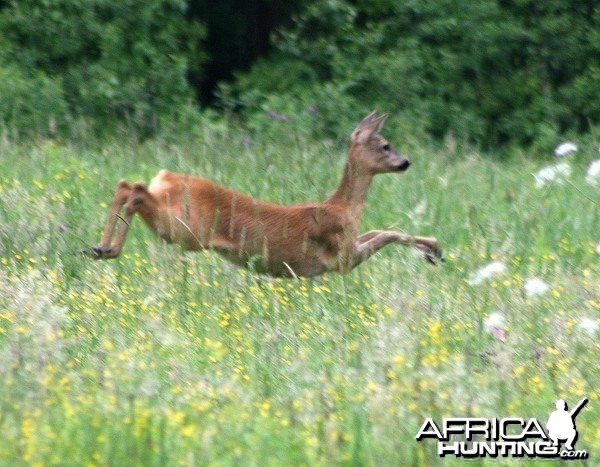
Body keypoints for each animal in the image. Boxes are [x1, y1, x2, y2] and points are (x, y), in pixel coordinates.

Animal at [90, 111, 446, 276]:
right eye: (385, 145)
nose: (406, 162)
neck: (343, 208)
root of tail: (165, 177)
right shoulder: (341, 258)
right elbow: (387, 233)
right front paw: (433, 248)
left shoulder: (348, 243)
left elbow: (380, 230)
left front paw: (433, 248)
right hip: (185, 228)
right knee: (135, 190)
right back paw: (108, 248)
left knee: (126, 184)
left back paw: (99, 247)